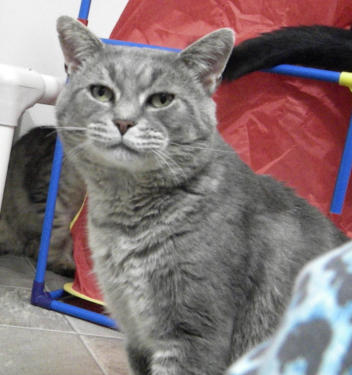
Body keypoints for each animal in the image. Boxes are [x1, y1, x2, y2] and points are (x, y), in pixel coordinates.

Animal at [56, 16, 348, 375]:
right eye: (100, 92)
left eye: (162, 100)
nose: (124, 122)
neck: (125, 219)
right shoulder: (136, 336)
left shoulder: (194, 335)